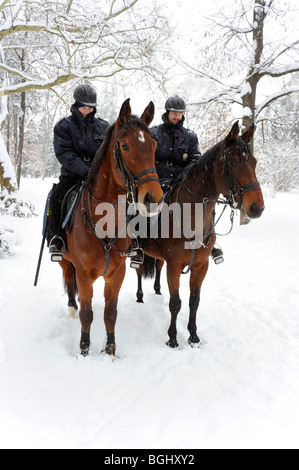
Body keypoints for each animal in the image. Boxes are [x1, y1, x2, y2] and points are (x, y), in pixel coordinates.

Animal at [59, 99, 164, 356]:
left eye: (154, 145)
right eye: (125, 146)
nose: (154, 198)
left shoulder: (117, 273)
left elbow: (110, 314)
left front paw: (110, 350)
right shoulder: (84, 273)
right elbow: (87, 314)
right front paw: (84, 350)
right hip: (65, 261)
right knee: (69, 283)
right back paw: (71, 308)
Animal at [136, 121, 264, 348]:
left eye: (254, 162)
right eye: (233, 162)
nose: (257, 207)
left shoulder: (200, 265)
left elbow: (193, 301)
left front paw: (193, 336)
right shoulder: (174, 266)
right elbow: (175, 303)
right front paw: (172, 338)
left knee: (157, 266)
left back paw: (157, 289)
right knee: (140, 270)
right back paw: (140, 296)